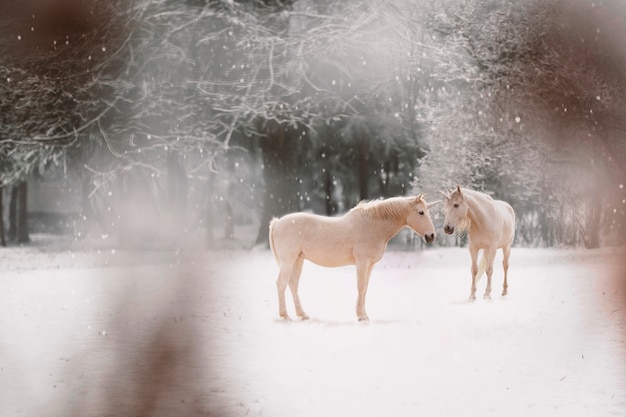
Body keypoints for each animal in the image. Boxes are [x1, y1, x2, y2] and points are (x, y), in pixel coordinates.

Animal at [268, 193, 438, 320]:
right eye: (421, 212)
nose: (431, 236)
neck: (373, 225)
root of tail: (277, 222)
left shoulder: (370, 265)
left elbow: (365, 288)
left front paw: (364, 315)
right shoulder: (362, 262)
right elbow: (361, 287)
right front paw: (361, 316)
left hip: (298, 260)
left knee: (293, 285)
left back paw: (302, 315)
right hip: (288, 261)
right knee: (281, 284)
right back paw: (285, 316)